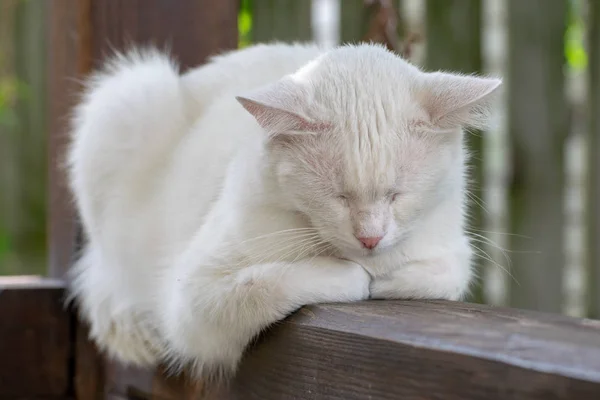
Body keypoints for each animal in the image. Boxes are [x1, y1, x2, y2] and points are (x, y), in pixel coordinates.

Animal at [67, 42, 502, 376]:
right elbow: (265, 285)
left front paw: (391, 278)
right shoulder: (191, 299)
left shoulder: (452, 246)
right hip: (129, 98)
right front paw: (351, 277)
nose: (370, 238)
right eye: (338, 196)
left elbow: (443, 273)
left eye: (397, 194)